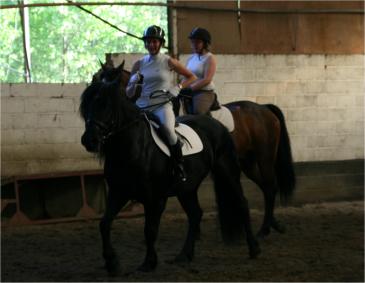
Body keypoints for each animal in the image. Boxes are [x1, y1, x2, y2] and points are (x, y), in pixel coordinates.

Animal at [81, 62, 260, 276]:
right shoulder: (118, 193)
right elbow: (104, 224)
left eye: (106, 105)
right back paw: (184, 255)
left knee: (241, 203)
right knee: (195, 214)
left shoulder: (156, 198)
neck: (131, 147)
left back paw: (254, 248)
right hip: (187, 188)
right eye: (86, 105)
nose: (89, 141)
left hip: (227, 171)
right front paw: (112, 263)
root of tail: (217, 124)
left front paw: (149, 262)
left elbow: (150, 230)